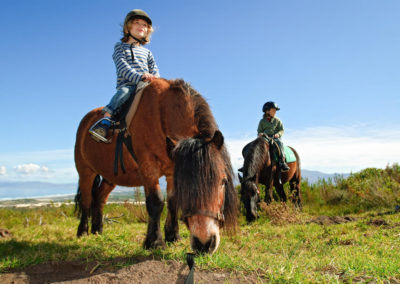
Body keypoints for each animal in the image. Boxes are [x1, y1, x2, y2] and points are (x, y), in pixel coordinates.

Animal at [75, 78, 238, 253]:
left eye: (223, 182)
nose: (204, 243)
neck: (161, 114)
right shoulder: (148, 167)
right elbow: (156, 202)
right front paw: (155, 241)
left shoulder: (172, 172)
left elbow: (173, 202)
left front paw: (173, 236)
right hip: (86, 172)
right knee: (86, 199)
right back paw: (82, 231)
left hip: (110, 177)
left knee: (99, 197)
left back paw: (97, 229)